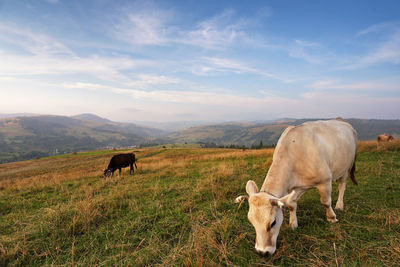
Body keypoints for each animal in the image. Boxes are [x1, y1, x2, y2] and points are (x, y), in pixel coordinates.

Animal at [233, 120, 358, 256]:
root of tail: (343, 122)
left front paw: (332, 218)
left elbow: (325, 202)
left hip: (347, 166)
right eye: (251, 222)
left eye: (273, 223)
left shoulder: (324, 180)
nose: (262, 252)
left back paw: (339, 205)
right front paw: (293, 224)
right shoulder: (295, 187)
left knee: (342, 186)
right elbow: (291, 204)